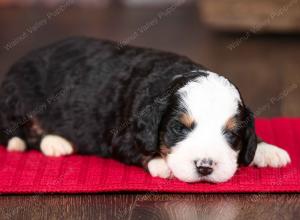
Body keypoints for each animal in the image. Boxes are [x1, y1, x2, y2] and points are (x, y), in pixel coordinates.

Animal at [0, 37, 290, 183]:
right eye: (178, 129)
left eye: (231, 135)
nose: (205, 167)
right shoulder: (120, 134)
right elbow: (139, 150)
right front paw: (162, 164)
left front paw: (267, 150)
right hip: (18, 98)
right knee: (20, 133)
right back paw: (53, 142)